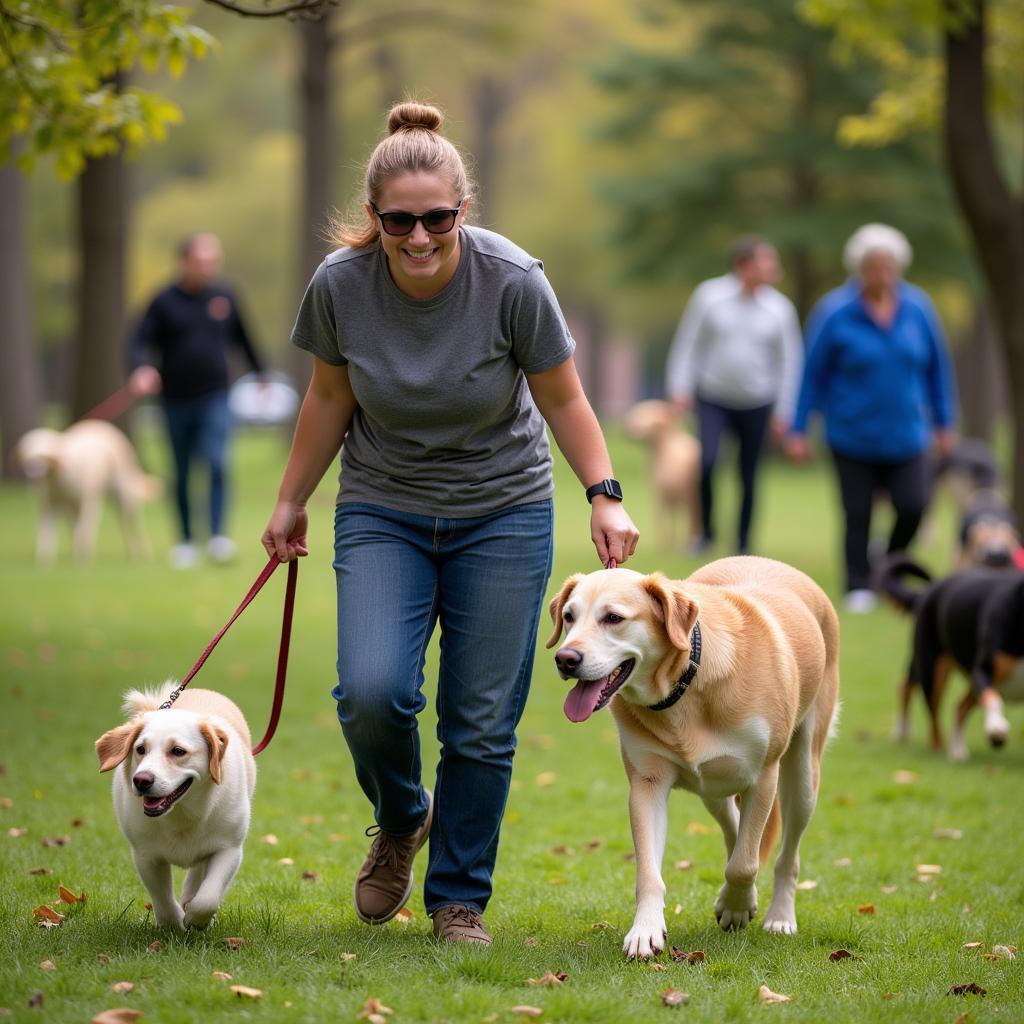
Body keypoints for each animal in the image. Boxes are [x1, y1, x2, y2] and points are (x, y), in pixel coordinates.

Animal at [12, 423, 160, 569]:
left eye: (44, 459)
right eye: (26, 455)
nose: (32, 476)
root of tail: (101, 425)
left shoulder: (87, 502)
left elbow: (84, 528)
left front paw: (83, 557)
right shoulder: (49, 505)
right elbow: (47, 533)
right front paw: (45, 561)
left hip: (121, 494)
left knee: (128, 523)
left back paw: (139, 553)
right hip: (73, 506)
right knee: (76, 526)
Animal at [95, 684, 256, 933]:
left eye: (178, 751)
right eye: (140, 749)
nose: (141, 780)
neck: (181, 815)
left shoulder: (229, 849)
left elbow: (208, 898)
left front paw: (196, 919)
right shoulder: (146, 855)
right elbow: (162, 897)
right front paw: (172, 923)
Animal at [548, 557, 835, 954]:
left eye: (613, 618)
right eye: (570, 617)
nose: (565, 659)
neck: (684, 684)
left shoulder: (764, 776)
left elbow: (744, 864)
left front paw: (737, 906)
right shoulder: (647, 783)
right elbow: (649, 872)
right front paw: (646, 930)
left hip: (803, 776)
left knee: (784, 853)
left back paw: (779, 916)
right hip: (712, 785)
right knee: (734, 825)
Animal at [622, 399, 704, 552]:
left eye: (652, 419)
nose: (628, 429)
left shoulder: (660, 495)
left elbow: (661, 520)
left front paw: (663, 547)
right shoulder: (670, 497)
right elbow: (671, 521)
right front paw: (670, 544)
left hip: (691, 496)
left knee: (693, 521)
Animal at [876, 552, 1019, 761]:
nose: (995, 555)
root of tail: (928, 590)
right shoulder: (983, 671)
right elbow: (993, 699)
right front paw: (997, 727)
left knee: (954, 706)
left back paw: (954, 748)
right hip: (931, 669)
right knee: (931, 713)